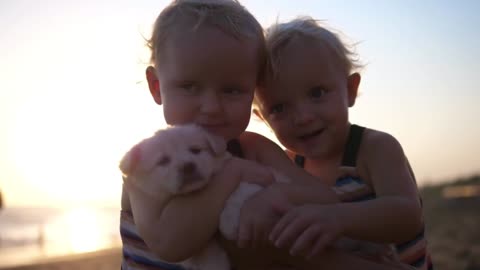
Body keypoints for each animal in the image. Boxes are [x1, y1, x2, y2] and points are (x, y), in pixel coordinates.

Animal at [118, 124, 282, 270]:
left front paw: (230, 223)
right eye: (163, 161)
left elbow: (240, 189)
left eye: (196, 150)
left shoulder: (262, 177)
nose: (188, 166)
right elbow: (203, 254)